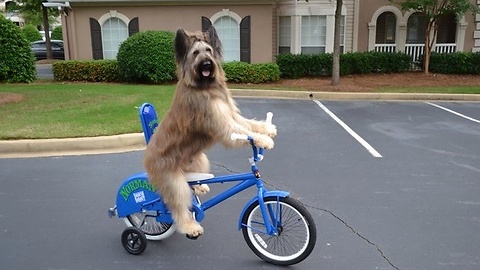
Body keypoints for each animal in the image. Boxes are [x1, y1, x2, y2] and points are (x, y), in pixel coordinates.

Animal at [144, 26, 276, 238]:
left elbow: (248, 124)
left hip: (200, 160)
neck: (204, 87)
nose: (207, 63)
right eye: (195, 53)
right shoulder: (221, 122)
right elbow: (239, 131)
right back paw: (190, 227)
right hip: (173, 180)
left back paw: (200, 186)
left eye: (209, 50)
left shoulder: (230, 113)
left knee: (193, 185)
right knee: (178, 206)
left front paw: (267, 130)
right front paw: (263, 140)